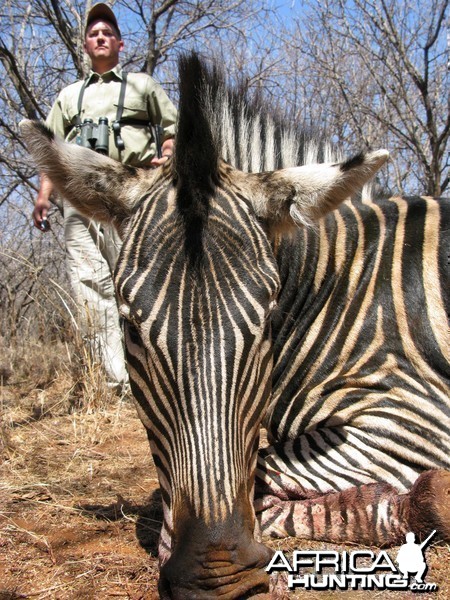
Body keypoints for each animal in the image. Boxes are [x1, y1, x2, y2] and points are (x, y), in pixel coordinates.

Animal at [19, 52, 448, 600]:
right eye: (131, 328)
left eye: (268, 321)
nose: (219, 578)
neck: (340, 286)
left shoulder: (412, 415)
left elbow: (262, 474)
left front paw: (422, 500)